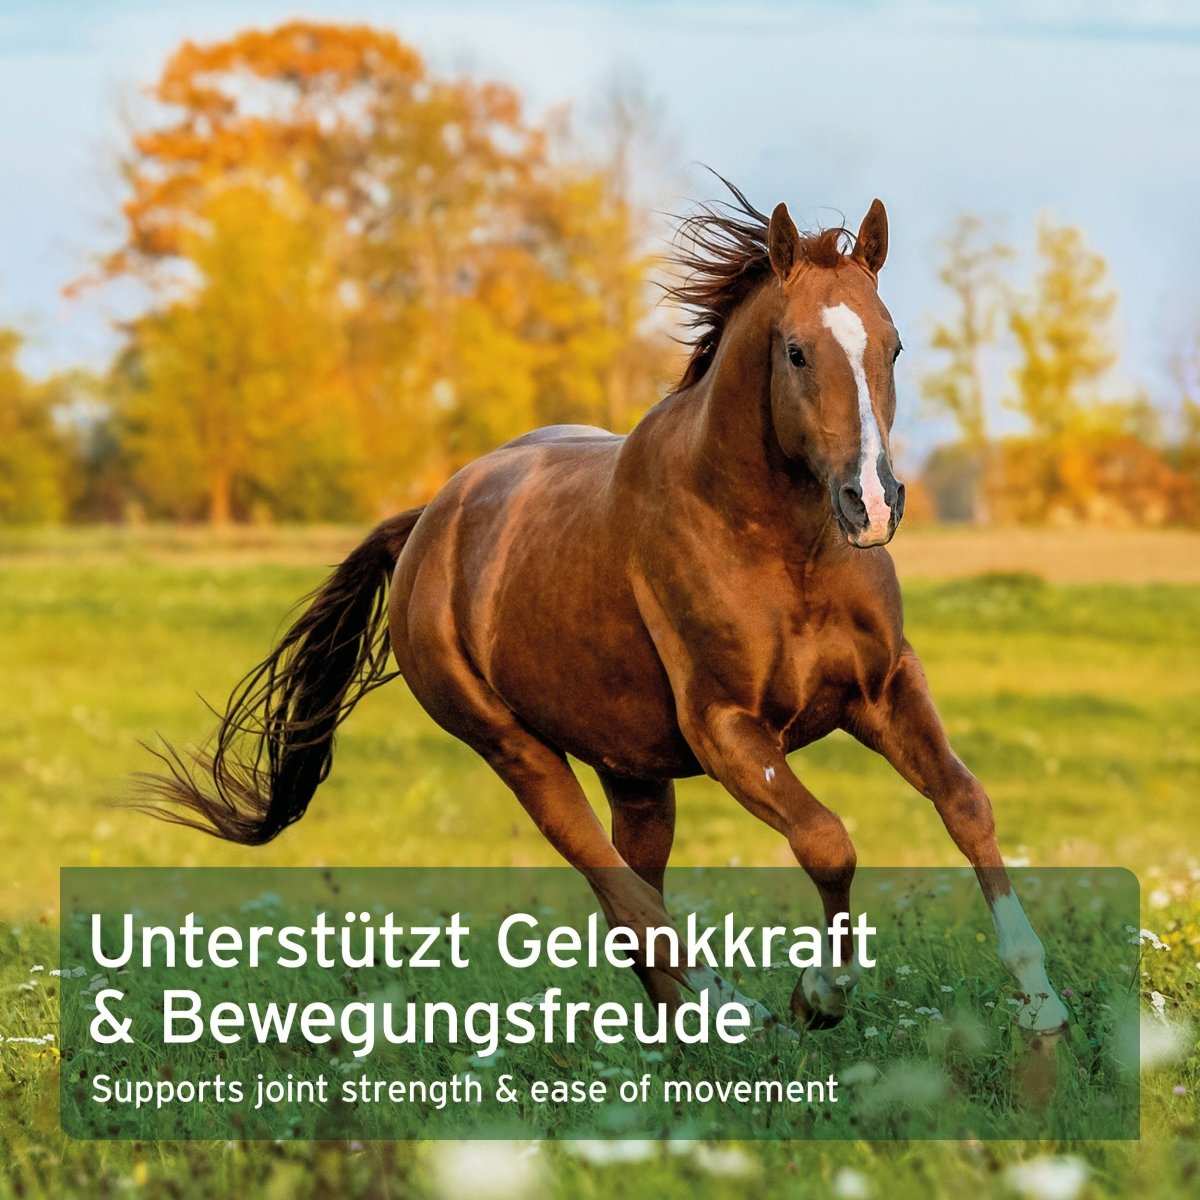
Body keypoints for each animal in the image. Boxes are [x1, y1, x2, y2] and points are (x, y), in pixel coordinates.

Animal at [139, 179, 1068, 1041]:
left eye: (894, 345)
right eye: (798, 352)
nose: (871, 503)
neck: (780, 547)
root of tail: (428, 522)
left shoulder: (883, 690)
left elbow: (965, 803)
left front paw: (1040, 1001)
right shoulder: (728, 730)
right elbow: (826, 841)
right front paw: (818, 996)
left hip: (634, 770)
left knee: (634, 884)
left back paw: (687, 1028)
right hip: (516, 750)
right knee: (612, 882)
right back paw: (728, 1003)